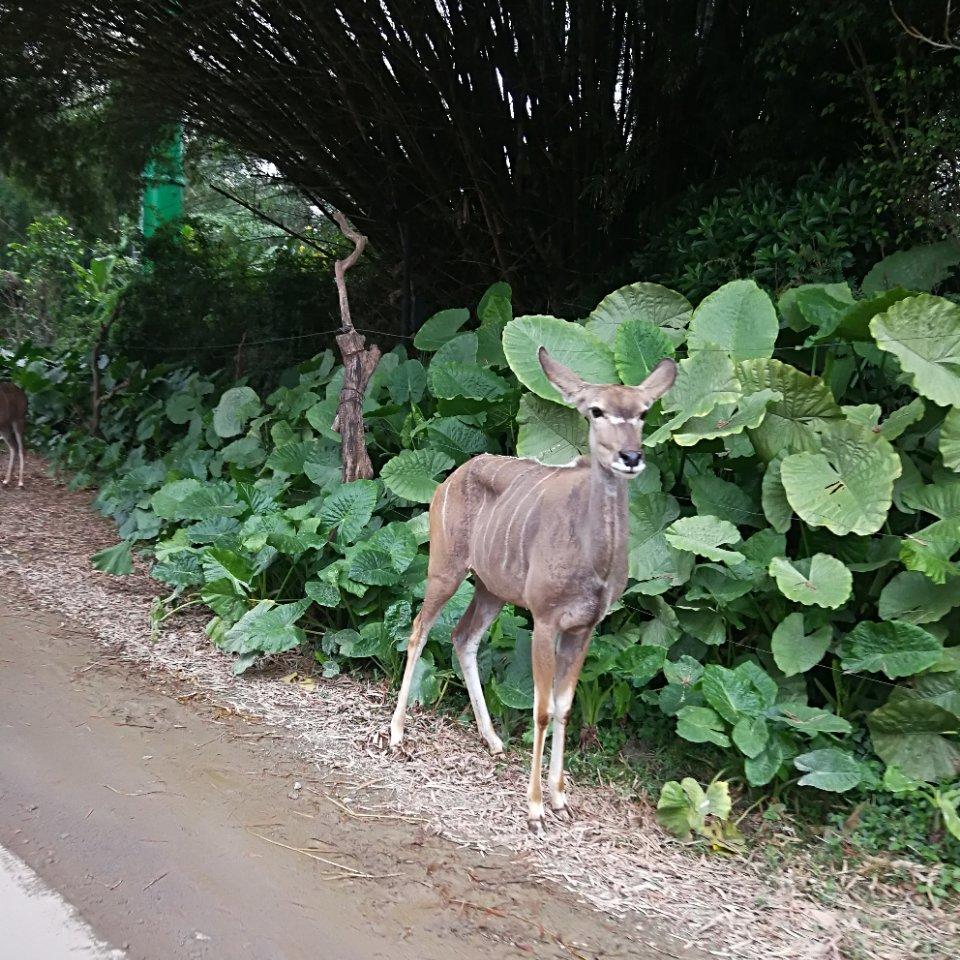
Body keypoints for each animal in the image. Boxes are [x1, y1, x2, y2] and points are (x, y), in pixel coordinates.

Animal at [390, 348, 676, 828]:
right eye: (596, 411)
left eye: (642, 413)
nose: (631, 455)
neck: (592, 562)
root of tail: (446, 481)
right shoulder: (545, 618)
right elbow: (542, 710)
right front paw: (536, 806)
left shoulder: (584, 627)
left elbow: (565, 706)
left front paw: (560, 798)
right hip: (445, 568)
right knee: (418, 631)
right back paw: (395, 734)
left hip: (491, 589)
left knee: (462, 637)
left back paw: (493, 740)